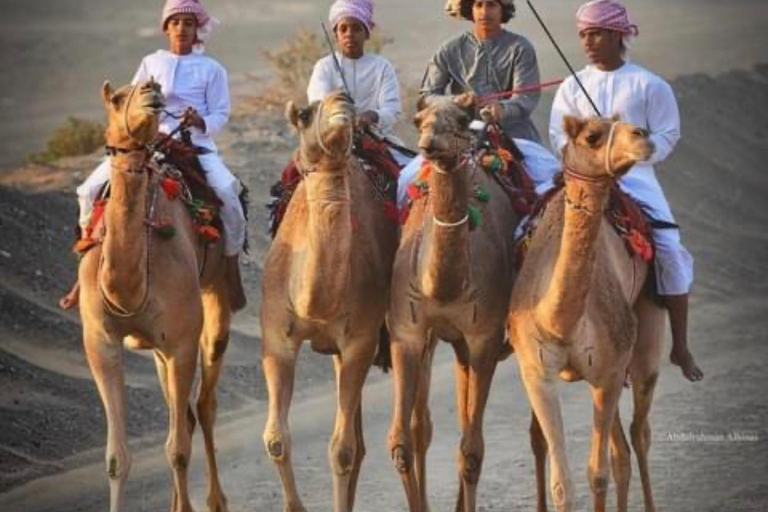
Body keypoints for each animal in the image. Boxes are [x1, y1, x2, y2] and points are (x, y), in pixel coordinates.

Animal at [78, 80, 236, 512]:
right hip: (156, 350)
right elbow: (116, 458)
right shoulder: (101, 343)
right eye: (117, 98)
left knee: (203, 407)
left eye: (154, 89)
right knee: (181, 413)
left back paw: (216, 499)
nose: (152, 90)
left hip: (215, 296)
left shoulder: (180, 341)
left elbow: (178, 448)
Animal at [260, 92, 400, 512]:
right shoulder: (277, 339)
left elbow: (342, 450)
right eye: (305, 114)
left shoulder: (359, 342)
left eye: (349, 109)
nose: (343, 100)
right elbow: (276, 440)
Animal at [388, 94, 520, 510]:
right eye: (419, 120)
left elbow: (473, 451)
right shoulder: (408, 333)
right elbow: (401, 443)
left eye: (461, 119)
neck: (443, 287)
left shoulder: (484, 339)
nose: (431, 144)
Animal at [504, 116, 664, 512]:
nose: (643, 137)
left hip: (641, 332)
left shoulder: (607, 373)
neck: (560, 323)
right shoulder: (537, 374)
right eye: (592, 136)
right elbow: (563, 484)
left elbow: (597, 473)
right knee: (622, 450)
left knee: (638, 435)